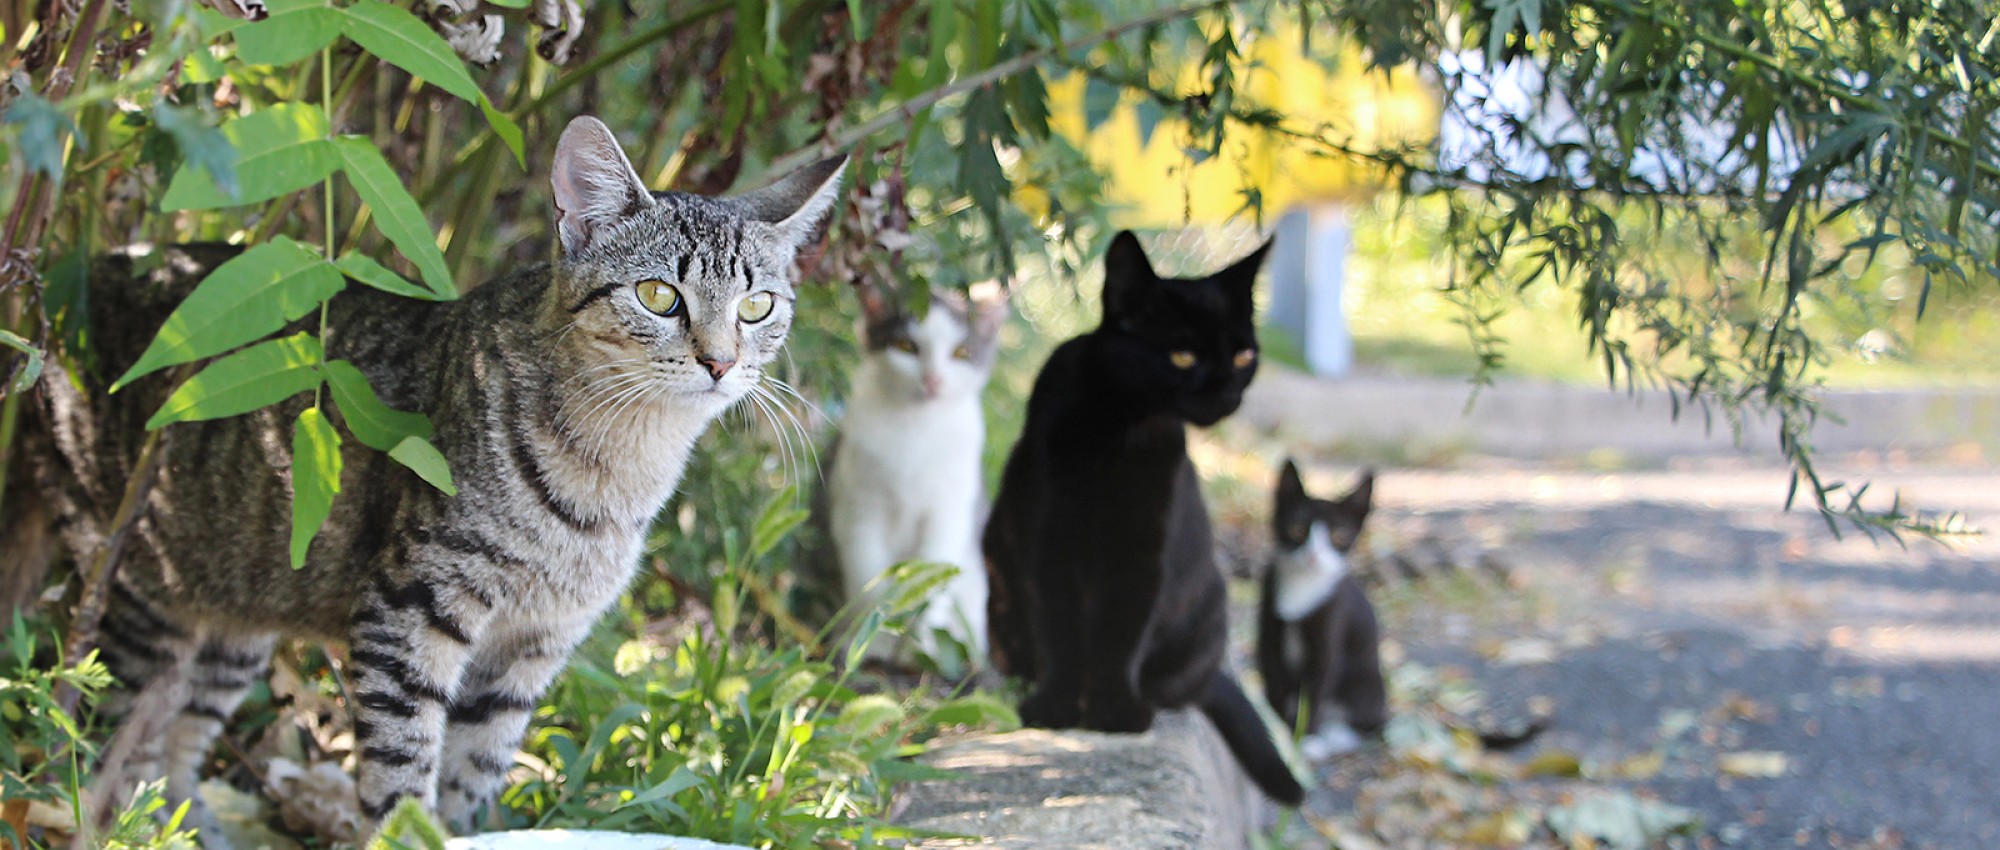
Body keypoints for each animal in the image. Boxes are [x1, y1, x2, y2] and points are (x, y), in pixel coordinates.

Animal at [35, 116, 844, 832]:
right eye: (658, 296)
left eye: (757, 306)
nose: (721, 363)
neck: (617, 475)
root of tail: (100, 267)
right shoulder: (410, 608)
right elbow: (403, 762)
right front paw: (406, 826)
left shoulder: (534, 646)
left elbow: (475, 767)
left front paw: (459, 826)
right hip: (142, 595)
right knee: (111, 750)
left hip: (240, 608)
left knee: (177, 742)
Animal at [976, 230, 1304, 800]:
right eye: (1182, 355)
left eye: (1244, 355)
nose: (1228, 393)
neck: (1119, 427)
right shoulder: (1046, 543)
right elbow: (1058, 629)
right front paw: (1055, 706)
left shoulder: (1142, 552)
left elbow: (1120, 633)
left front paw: (1115, 712)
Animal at [1256, 460, 1384, 760]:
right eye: (1297, 528)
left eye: (1339, 535)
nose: (1312, 556)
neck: (1301, 587)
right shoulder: (1268, 635)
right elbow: (1275, 687)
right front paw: (1277, 733)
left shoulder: (1330, 631)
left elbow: (1316, 692)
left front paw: (1305, 739)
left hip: (1365, 683)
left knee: (1368, 725)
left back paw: (1331, 740)